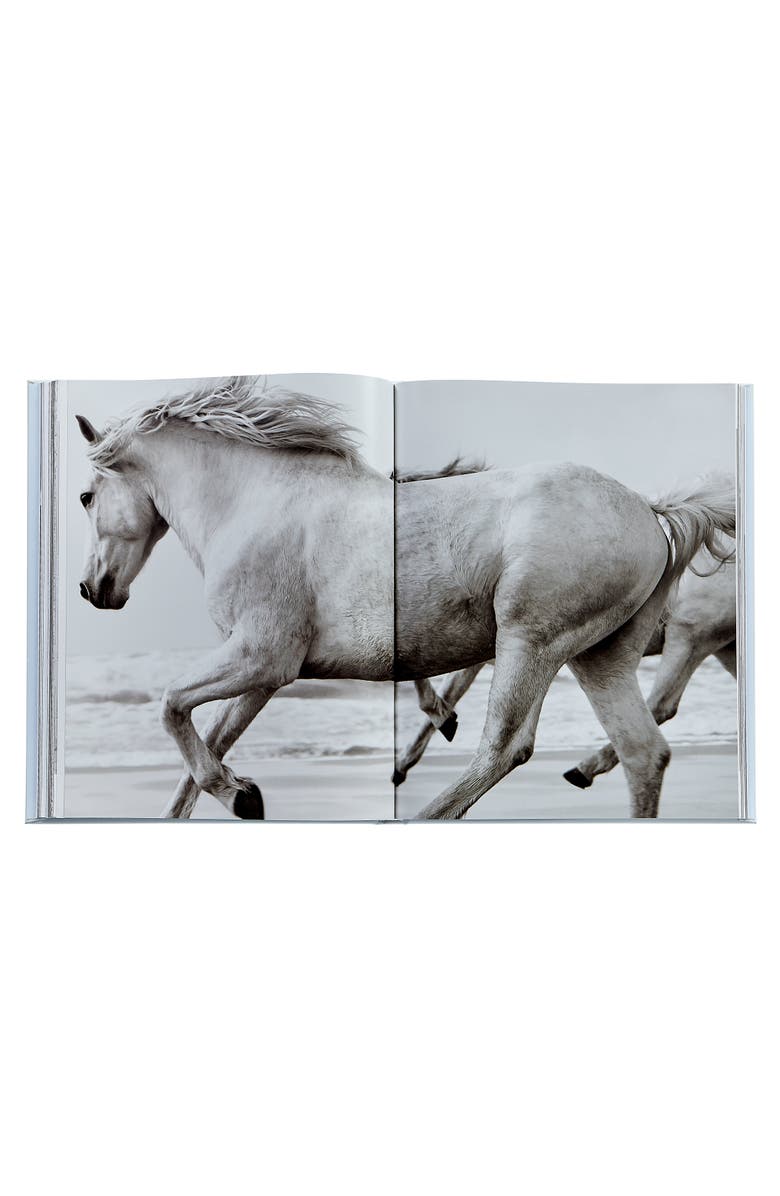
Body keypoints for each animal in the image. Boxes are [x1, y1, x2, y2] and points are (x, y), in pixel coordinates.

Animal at [393, 547, 736, 790]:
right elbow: (450, 690)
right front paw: (408, 759)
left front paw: (439, 722)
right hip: (721, 648)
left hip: (689, 637)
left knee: (661, 705)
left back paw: (584, 770)